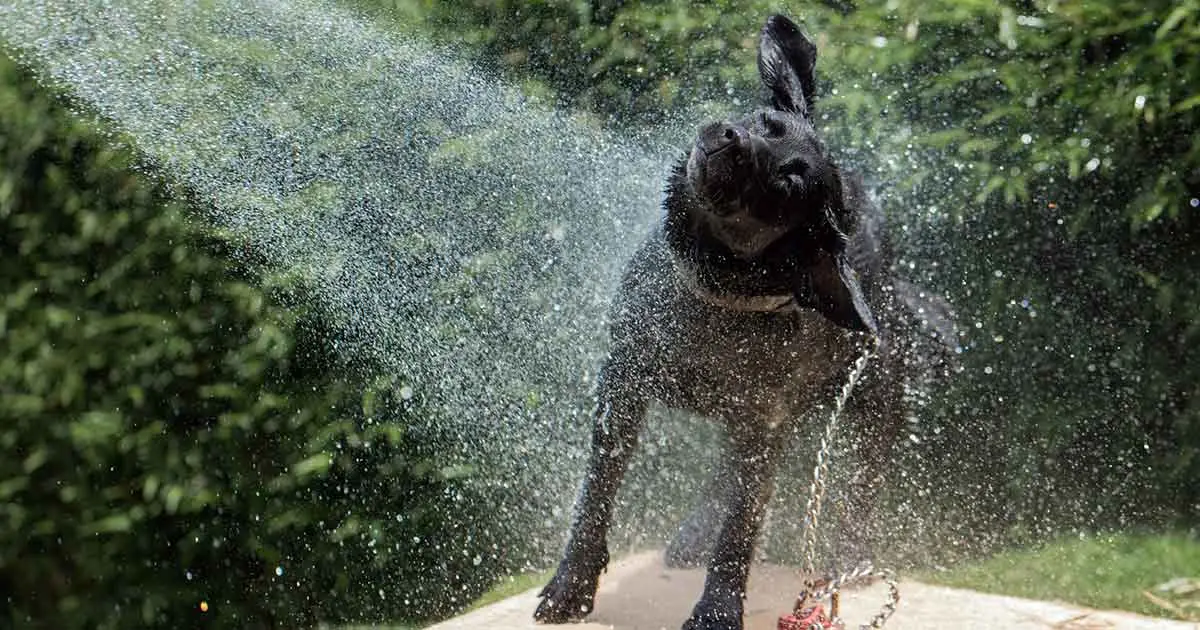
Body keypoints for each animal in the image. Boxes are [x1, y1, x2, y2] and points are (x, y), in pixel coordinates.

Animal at [535, 13, 955, 628]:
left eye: (788, 183)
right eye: (767, 123)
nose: (730, 139)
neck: (716, 300)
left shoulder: (764, 424)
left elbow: (741, 530)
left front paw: (716, 610)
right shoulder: (624, 385)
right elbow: (595, 498)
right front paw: (570, 586)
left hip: (872, 399)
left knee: (860, 490)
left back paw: (850, 558)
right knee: (720, 478)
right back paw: (693, 533)